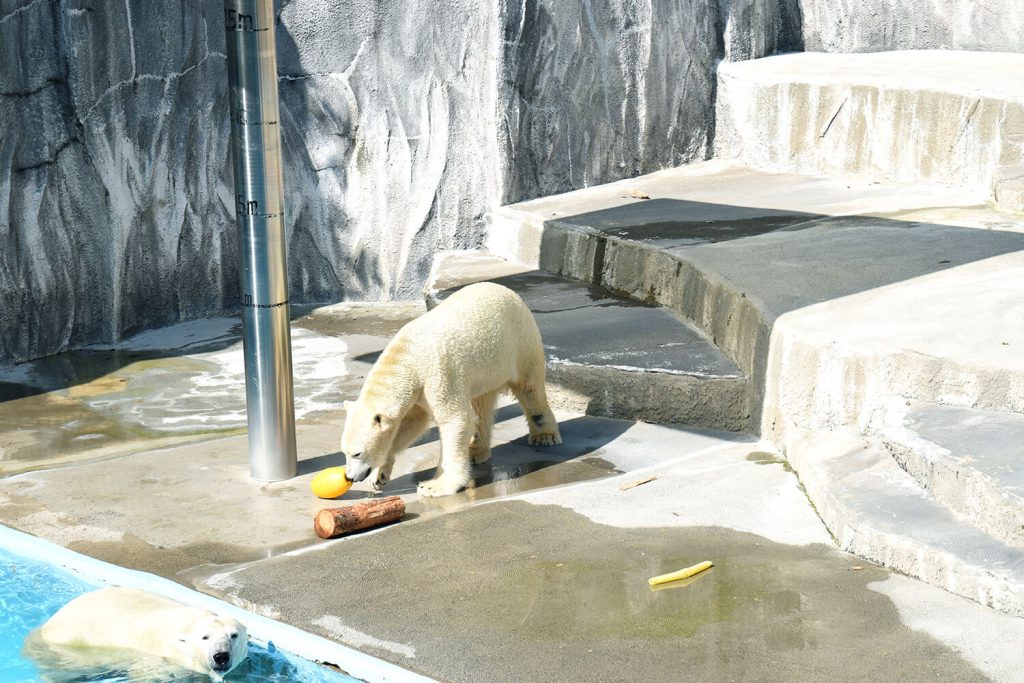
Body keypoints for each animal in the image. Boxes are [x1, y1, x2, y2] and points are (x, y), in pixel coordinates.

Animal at [344, 280, 561, 499]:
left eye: (357, 453)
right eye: (344, 452)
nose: (350, 477)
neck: (409, 356)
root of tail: (507, 290)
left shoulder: (439, 375)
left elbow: (455, 421)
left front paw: (433, 486)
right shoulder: (417, 392)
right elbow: (411, 424)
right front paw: (378, 476)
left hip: (518, 342)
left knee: (529, 388)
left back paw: (544, 435)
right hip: (486, 368)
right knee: (481, 406)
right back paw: (475, 450)